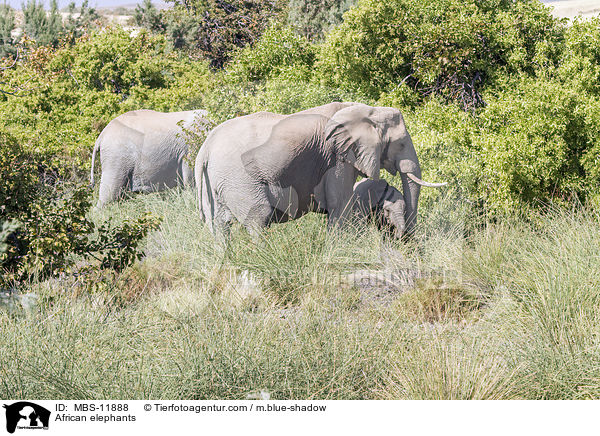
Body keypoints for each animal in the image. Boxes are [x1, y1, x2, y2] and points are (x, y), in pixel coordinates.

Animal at [197, 102, 446, 237]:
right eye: (401, 144)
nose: (407, 239)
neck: (366, 109)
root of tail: (205, 150)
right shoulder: (337, 159)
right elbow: (340, 205)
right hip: (239, 179)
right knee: (258, 217)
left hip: (217, 182)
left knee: (219, 226)